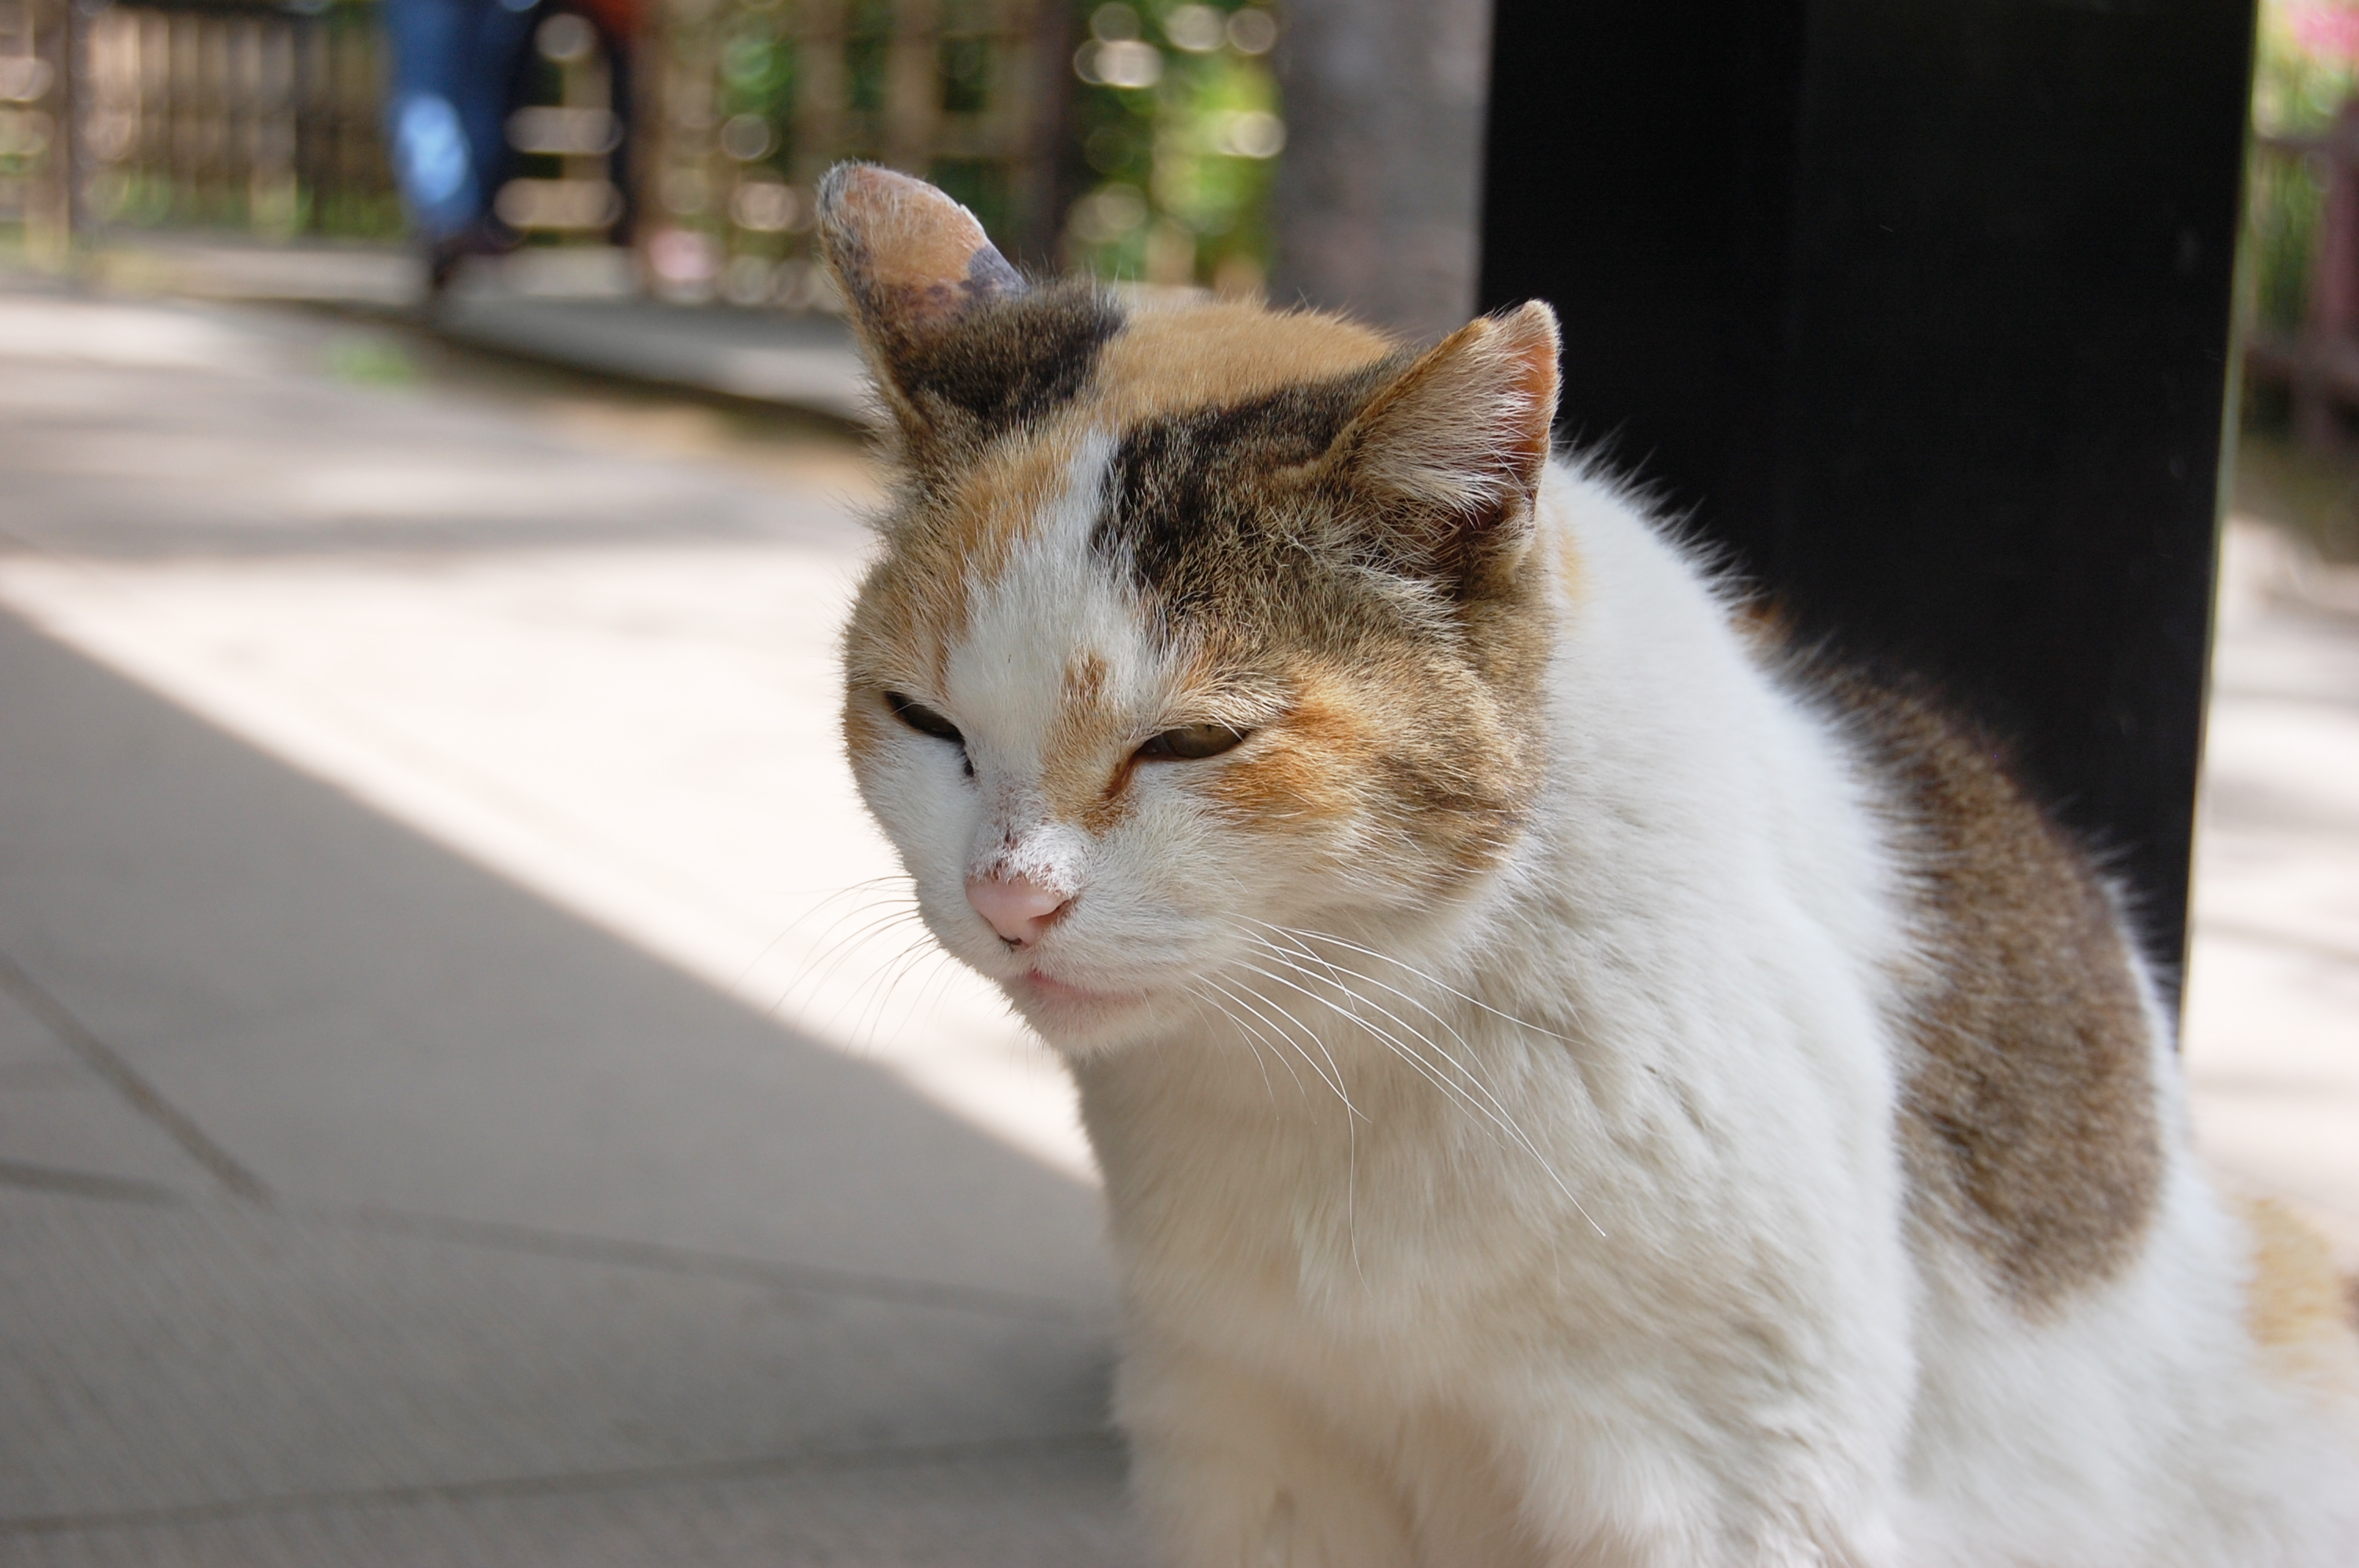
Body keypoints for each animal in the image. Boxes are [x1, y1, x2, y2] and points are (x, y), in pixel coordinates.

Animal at [816, 165, 2359, 1555]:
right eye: (925, 722)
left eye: (1194, 741)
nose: (1009, 896)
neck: (1337, 1071)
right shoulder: (1248, 1442)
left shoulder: (1738, 1481)